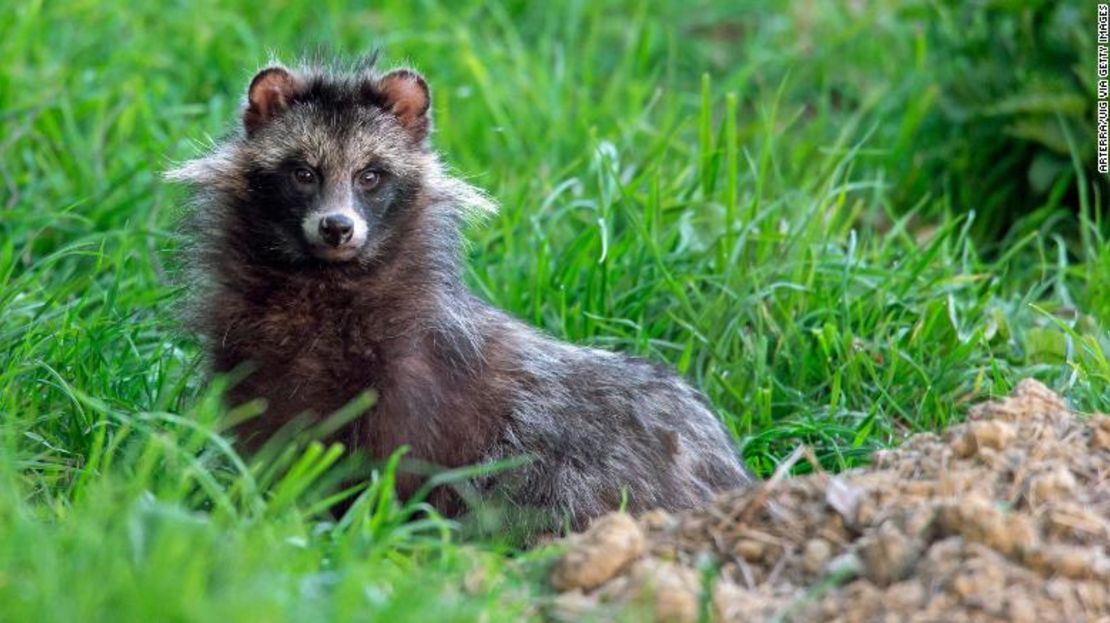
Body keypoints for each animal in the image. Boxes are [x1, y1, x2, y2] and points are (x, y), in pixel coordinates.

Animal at [166, 57, 754, 528]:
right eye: (303, 173)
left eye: (371, 176)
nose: (337, 227)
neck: (321, 281)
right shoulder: (251, 355)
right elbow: (262, 435)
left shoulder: (416, 371)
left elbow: (396, 458)